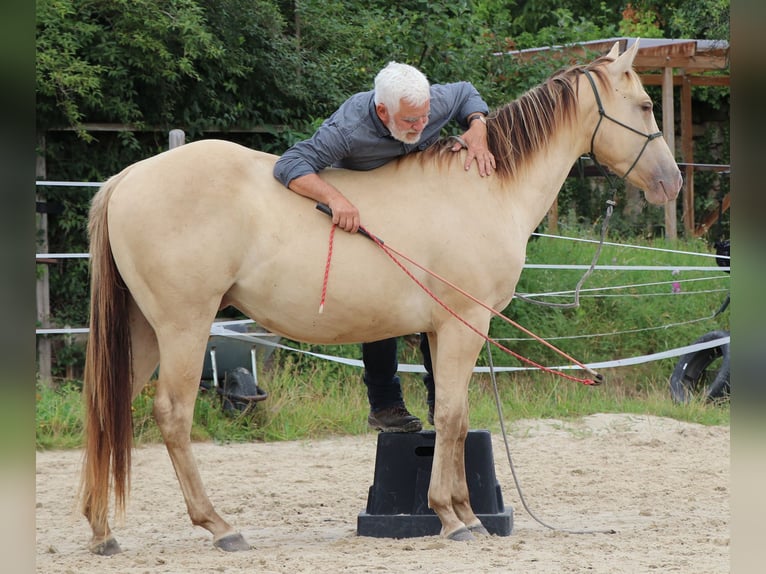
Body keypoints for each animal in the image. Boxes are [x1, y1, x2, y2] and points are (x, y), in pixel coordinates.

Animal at [80, 40, 681, 554]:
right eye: (647, 105)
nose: (672, 183)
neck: (485, 189)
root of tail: (127, 178)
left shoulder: (442, 331)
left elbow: (452, 416)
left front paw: (464, 510)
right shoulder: (464, 325)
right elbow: (454, 417)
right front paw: (452, 517)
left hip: (143, 330)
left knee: (109, 410)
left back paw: (102, 530)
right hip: (183, 326)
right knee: (173, 415)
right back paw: (220, 527)